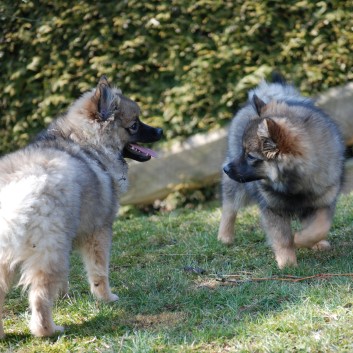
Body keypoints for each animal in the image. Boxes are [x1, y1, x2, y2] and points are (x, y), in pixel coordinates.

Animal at [0, 76, 162, 336]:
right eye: (134, 125)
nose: (160, 130)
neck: (88, 144)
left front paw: (64, 297)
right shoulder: (99, 230)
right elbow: (99, 271)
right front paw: (106, 298)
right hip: (51, 250)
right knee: (39, 296)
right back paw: (49, 330)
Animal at [217, 74, 344, 266]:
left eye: (250, 156)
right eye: (242, 151)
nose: (225, 169)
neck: (296, 184)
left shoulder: (324, 200)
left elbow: (319, 228)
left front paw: (302, 240)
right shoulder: (272, 207)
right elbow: (282, 238)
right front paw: (288, 263)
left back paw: (318, 243)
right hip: (235, 186)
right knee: (229, 208)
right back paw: (224, 237)